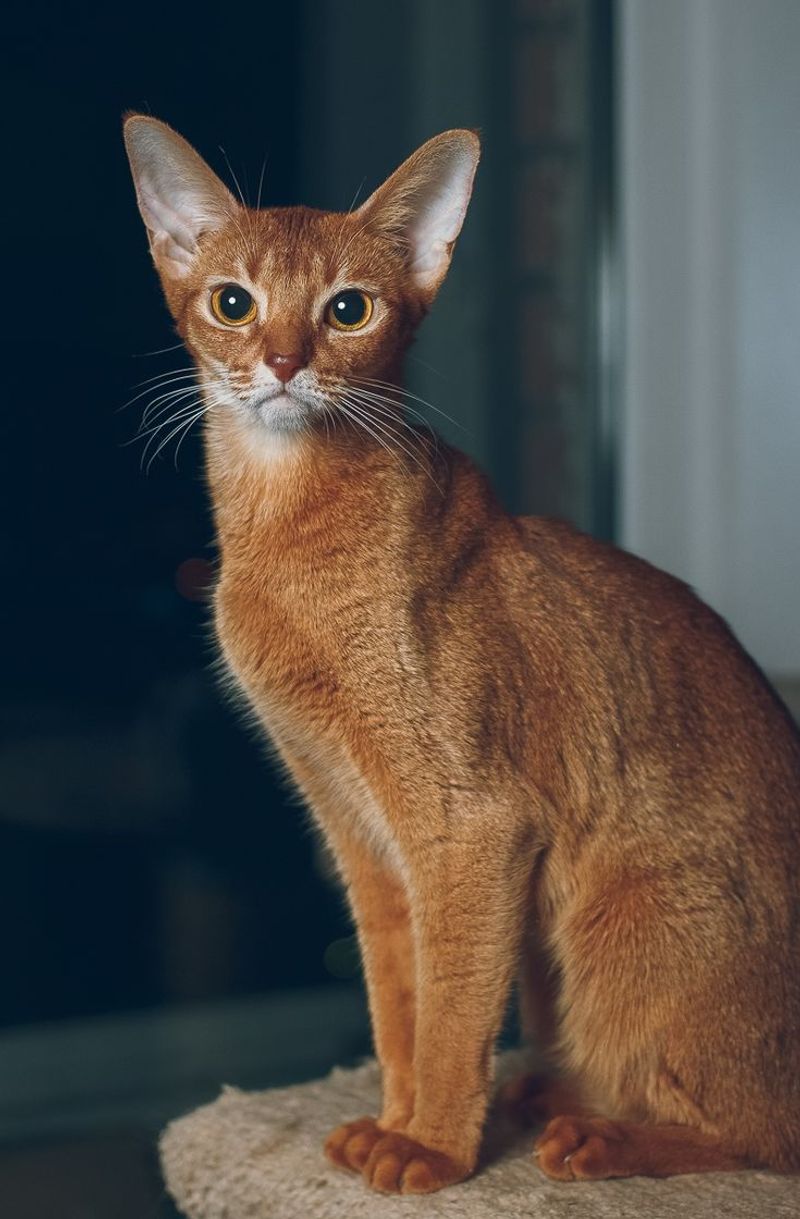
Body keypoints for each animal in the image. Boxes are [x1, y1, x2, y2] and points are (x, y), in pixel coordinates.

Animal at [123, 114, 800, 1189]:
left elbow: (451, 1011)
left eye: (348, 310)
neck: (291, 537)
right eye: (233, 302)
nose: (283, 362)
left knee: (762, 1130)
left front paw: (434, 1149)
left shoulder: (470, 824)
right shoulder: (361, 832)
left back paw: (598, 1135)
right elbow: (399, 1000)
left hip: (619, 925)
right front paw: (391, 1122)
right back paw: (546, 1096)